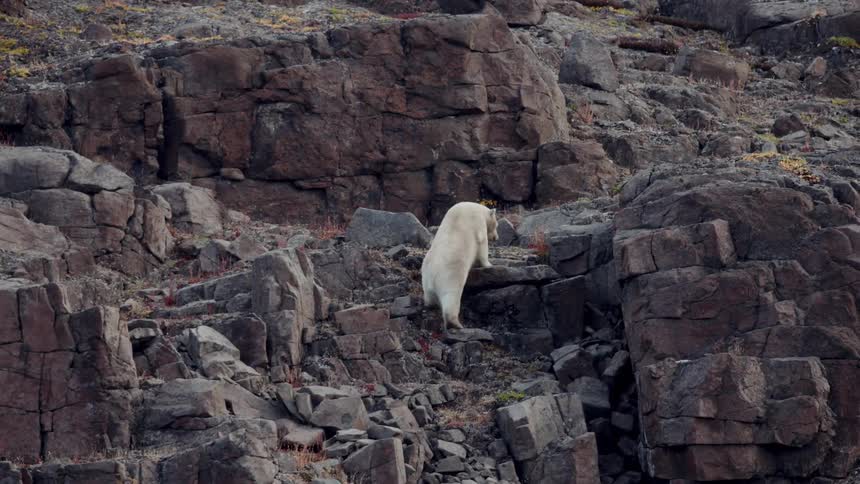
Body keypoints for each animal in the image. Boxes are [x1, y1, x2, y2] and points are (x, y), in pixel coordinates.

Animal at [421, 201, 499, 330]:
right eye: (496, 224)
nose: (496, 237)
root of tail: (432, 277)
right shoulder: (478, 223)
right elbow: (482, 244)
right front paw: (489, 264)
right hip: (449, 276)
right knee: (451, 298)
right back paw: (456, 324)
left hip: (425, 280)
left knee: (429, 298)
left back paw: (430, 305)